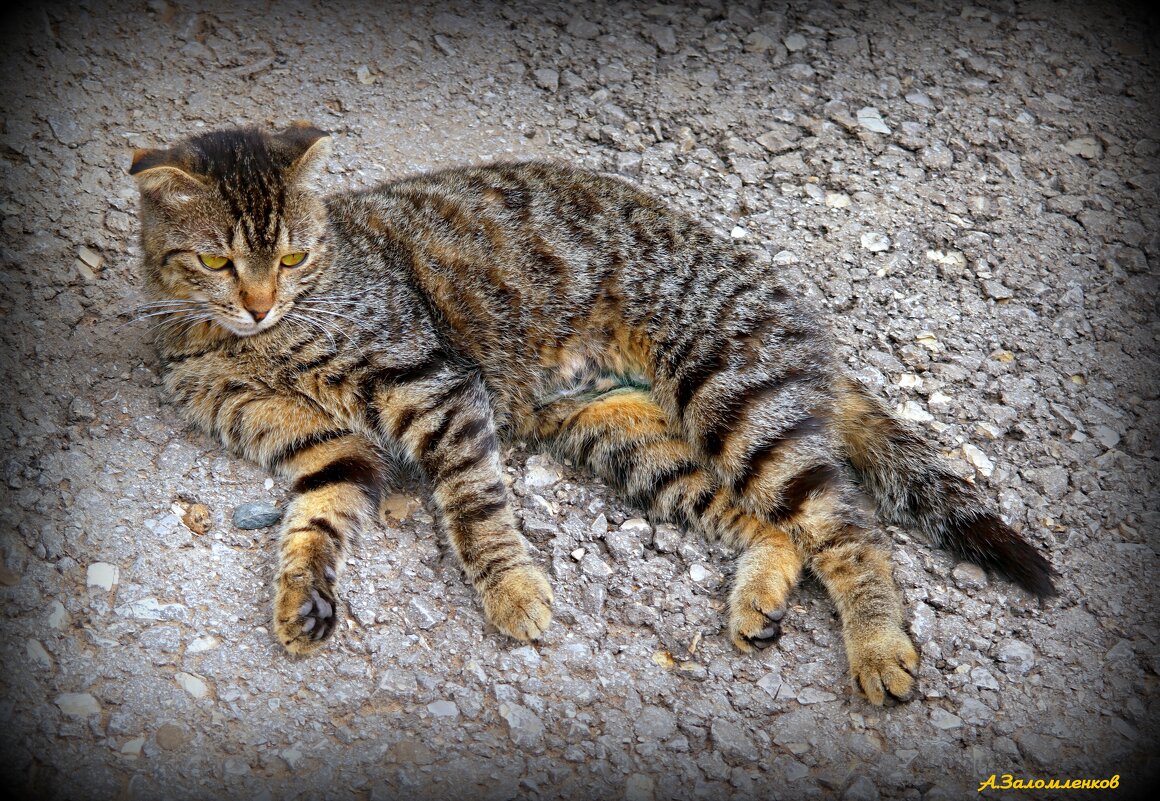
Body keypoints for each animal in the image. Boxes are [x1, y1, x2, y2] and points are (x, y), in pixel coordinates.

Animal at [131, 122, 1057, 704]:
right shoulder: (323, 443)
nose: (258, 304)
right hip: (631, 439)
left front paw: (511, 587)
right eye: (218, 261)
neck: (255, 342)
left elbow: (474, 506)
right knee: (773, 526)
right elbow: (315, 518)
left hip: (734, 401)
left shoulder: (433, 383)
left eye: (291, 257)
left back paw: (877, 644)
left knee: (847, 526)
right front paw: (303, 597)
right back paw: (759, 593)